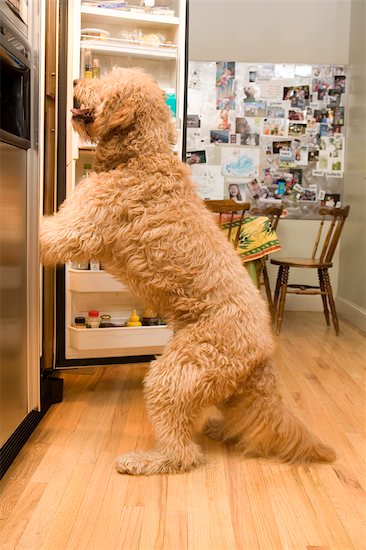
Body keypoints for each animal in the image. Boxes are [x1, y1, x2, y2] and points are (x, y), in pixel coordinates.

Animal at [39, 68, 334, 474]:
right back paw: (223, 430)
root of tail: (264, 351)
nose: (74, 81)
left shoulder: (78, 228)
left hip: (175, 374)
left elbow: (46, 234)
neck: (141, 153)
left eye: (108, 80)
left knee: (182, 452)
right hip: (219, 384)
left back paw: (146, 460)